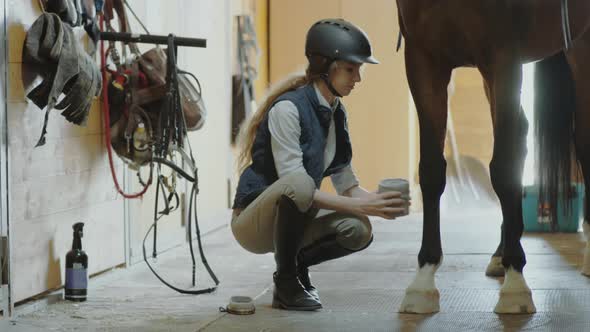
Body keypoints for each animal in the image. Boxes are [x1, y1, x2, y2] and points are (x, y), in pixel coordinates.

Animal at [396, 0, 590, 314]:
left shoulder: (504, 57)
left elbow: (503, 169)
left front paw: (516, 286)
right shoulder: (424, 59)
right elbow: (431, 171)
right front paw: (423, 282)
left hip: (580, 51)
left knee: (582, 141)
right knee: (522, 133)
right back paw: (501, 253)